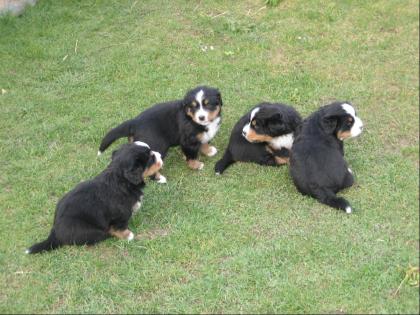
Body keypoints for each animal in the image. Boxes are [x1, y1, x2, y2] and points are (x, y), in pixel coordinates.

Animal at [25, 142, 162, 256]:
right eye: (151, 158)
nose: (160, 155)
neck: (120, 180)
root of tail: (54, 232)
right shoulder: (120, 215)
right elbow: (119, 227)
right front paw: (128, 236)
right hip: (88, 230)